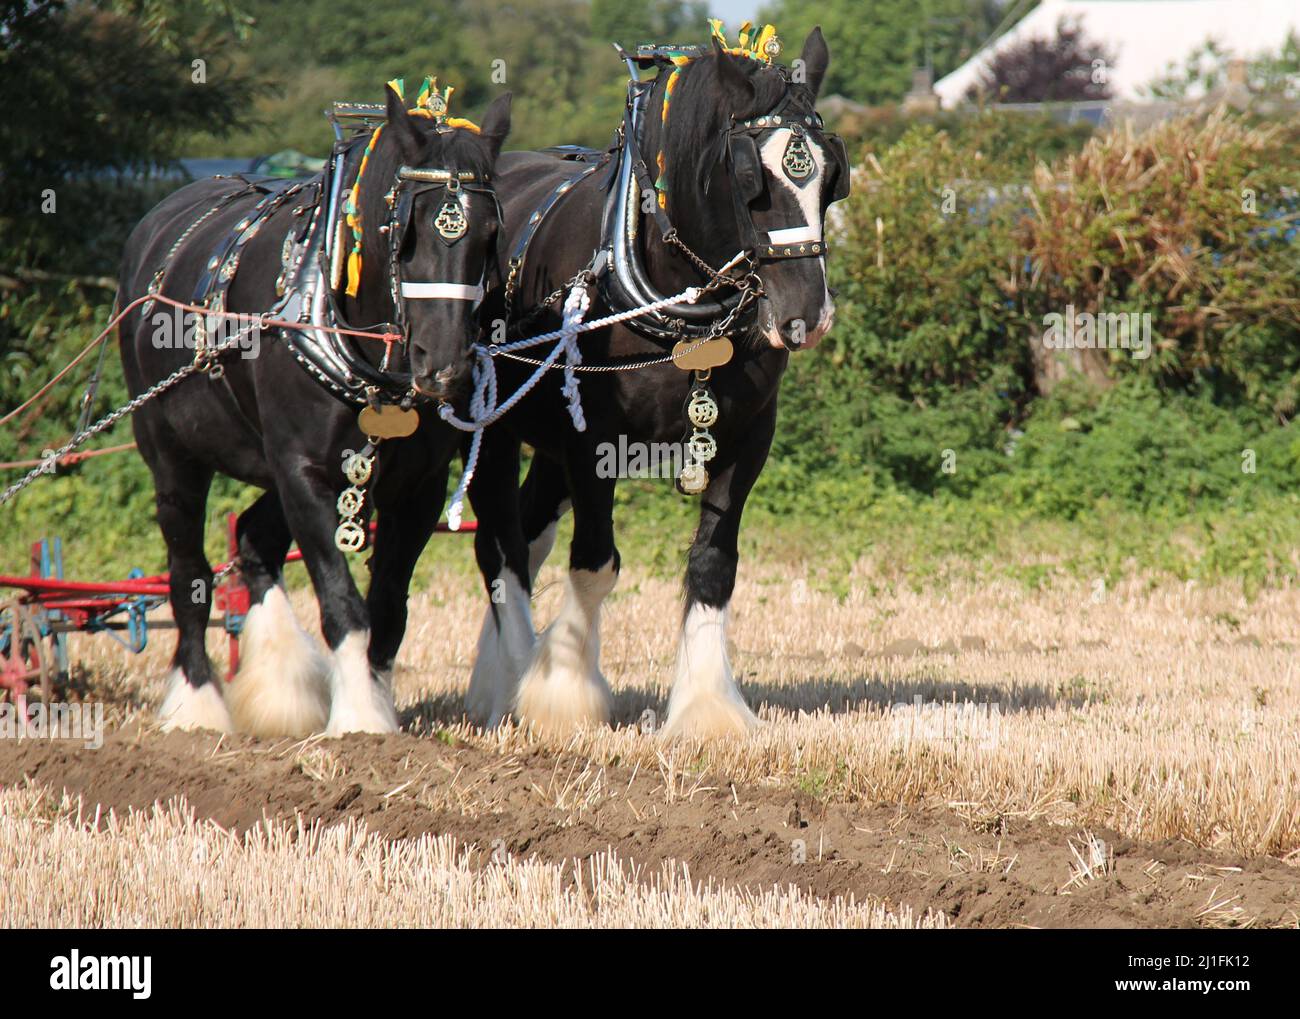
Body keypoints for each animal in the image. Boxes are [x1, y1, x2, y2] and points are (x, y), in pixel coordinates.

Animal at [119, 85, 509, 733]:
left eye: (489, 234)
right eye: (407, 231)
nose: (444, 367)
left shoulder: (417, 486)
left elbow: (388, 606)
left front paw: (374, 700)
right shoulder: (302, 470)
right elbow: (342, 600)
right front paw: (360, 720)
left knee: (255, 540)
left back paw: (278, 689)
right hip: (172, 457)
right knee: (188, 574)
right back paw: (196, 704)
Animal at [467, 27, 852, 738]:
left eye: (832, 176)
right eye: (749, 178)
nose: (805, 316)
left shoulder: (748, 435)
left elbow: (713, 565)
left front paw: (708, 710)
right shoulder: (592, 440)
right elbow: (595, 562)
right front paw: (563, 695)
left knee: (527, 539)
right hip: (492, 430)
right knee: (499, 549)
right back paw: (506, 682)